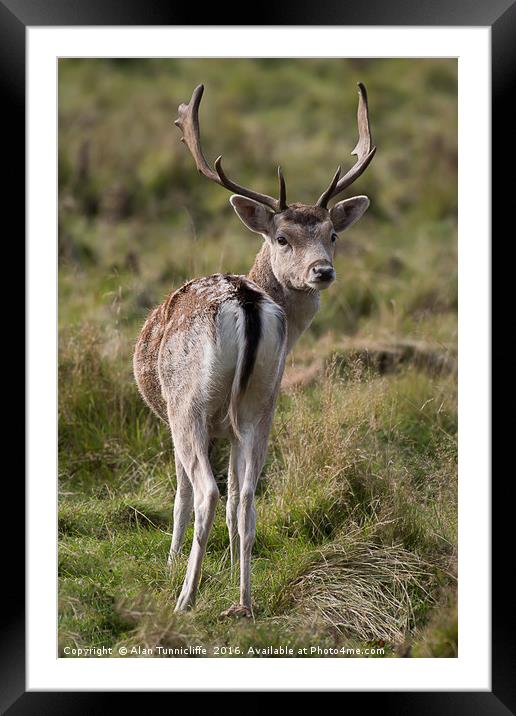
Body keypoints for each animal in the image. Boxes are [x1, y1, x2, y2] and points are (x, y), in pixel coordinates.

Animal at [133, 79, 374, 616]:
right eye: (282, 237)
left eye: (332, 234)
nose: (322, 271)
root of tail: (244, 301)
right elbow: (233, 502)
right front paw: (226, 575)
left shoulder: (173, 417)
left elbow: (180, 495)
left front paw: (170, 567)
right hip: (263, 402)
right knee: (245, 496)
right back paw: (242, 602)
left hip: (189, 404)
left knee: (205, 491)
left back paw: (185, 597)